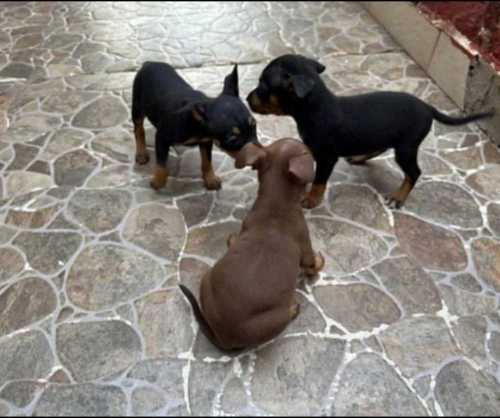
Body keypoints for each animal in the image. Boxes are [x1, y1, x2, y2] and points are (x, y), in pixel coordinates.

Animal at [132, 61, 258, 191]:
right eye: (232, 139)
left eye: (254, 126)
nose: (258, 157)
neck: (197, 124)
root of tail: (149, 62)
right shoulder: (162, 137)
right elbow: (161, 163)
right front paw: (158, 181)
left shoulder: (206, 141)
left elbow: (207, 161)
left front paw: (210, 179)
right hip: (137, 106)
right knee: (138, 129)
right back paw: (141, 153)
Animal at [180, 138, 325, 351]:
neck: (275, 203)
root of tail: (223, 336)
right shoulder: (305, 247)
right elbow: (312, 264)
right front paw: (319, 264)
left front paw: (232, 239)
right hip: (275, 318)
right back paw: (293, 309)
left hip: (206, 279)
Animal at [247, 54, 495, 209]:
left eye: (263, 86)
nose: (248, 98)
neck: (315, 108)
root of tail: (428, 107)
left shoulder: (327, 158)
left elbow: (319, 180)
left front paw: (311, 200)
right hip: (385, 137)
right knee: (380, 147)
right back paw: (359, 157)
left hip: (406, 147)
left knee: (414, 173)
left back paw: (398, 198)